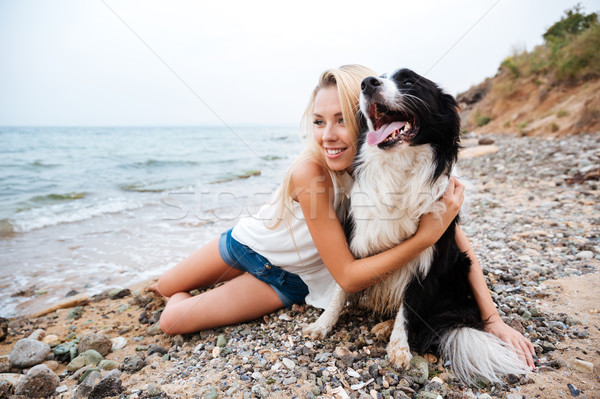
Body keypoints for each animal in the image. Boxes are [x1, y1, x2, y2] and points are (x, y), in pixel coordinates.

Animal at [304, 68, 528, 384]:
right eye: (374, 79)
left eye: (409, 81)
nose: (367, 83)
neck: (399, 168)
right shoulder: (356, 240)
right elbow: (340, 289)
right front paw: (322, 325)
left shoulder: (426, 259)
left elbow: (409, 308)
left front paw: (399, 348)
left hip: (458, 267)